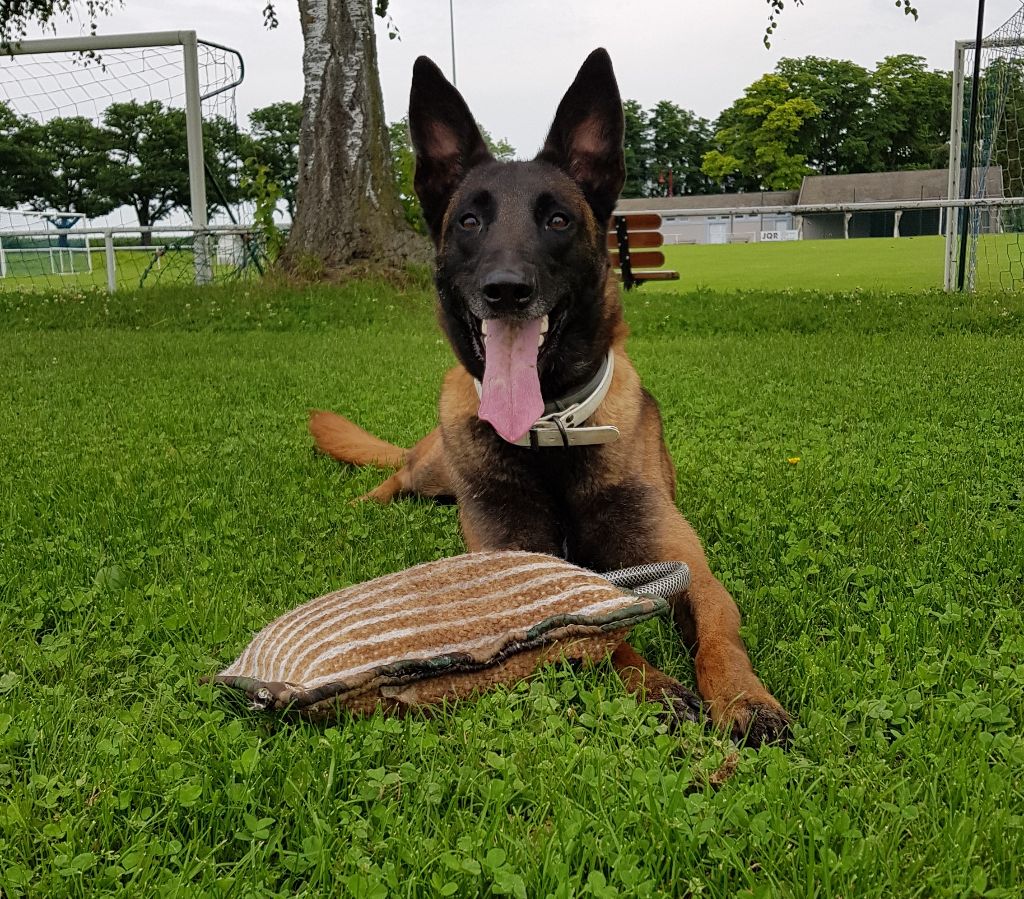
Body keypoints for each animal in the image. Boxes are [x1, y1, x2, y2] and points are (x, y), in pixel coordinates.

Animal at [307, 47, 786, 745]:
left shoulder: (686, 564)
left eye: (558, 219)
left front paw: (744, 698)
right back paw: (363, 501)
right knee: (397, 471)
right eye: (470, 221)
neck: (552, 432)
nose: (506, 290)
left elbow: (719, 630)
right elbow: (594, 635)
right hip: (433, 468)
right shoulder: (520, 573)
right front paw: (654, 687)